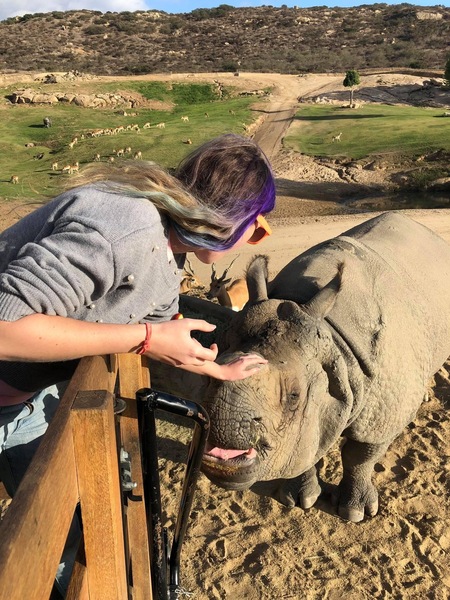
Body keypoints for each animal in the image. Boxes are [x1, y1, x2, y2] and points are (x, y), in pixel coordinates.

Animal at [200, 213, 450, 524]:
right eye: (206, 377)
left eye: (294, 396)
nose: (221, 427)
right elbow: (307, 447)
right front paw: (299, 499)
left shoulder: (384, 410)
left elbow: (361, 455)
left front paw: (354, 512)